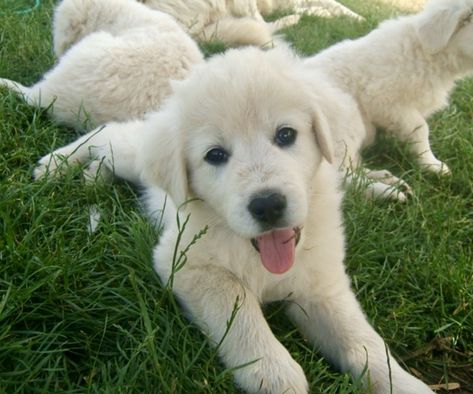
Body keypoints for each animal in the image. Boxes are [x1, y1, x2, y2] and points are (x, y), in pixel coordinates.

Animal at [33, 45, 434, 394]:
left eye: (286, 134)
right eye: (215, 155)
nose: (268, 205)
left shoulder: (322, 286)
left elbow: (363, 342)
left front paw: (404, 384)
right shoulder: (187, 264)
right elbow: (240, 311)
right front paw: (277, 374)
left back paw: (92, 177)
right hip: (132, 153)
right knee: (107, 133)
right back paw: (55, 165)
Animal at [304, 0, 472, 200]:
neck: (424, 52)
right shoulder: (382, 99)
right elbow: (421, 128)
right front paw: (432, 165)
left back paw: (389, 179)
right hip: (345, 118)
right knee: (339, 176)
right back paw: (388, 192)